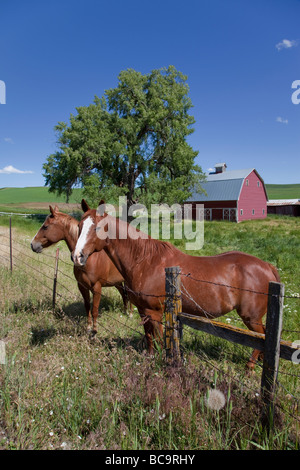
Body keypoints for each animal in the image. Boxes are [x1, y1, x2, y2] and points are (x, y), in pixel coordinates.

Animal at [30, 206, 131, 334]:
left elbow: (94, 310)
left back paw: (130, 313)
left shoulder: (97, 287)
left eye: (46, 226)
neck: (90, 259)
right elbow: (87, 306)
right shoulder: (82, 286)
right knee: (123, 294)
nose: (32, 244)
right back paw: (125, 311)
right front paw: (88, 328)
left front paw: (94, 330)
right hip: (117, 282)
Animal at [72, 200, 282, 370]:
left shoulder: (154, 312)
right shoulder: (143, 310)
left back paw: (250, 365)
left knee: (261, 337)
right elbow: (149, 337)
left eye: (98, 228)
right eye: (80, 226)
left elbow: (158, 337)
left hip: (251, 317)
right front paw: (150, 357)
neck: (145, 261)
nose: (77, 256)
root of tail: (267, 266)